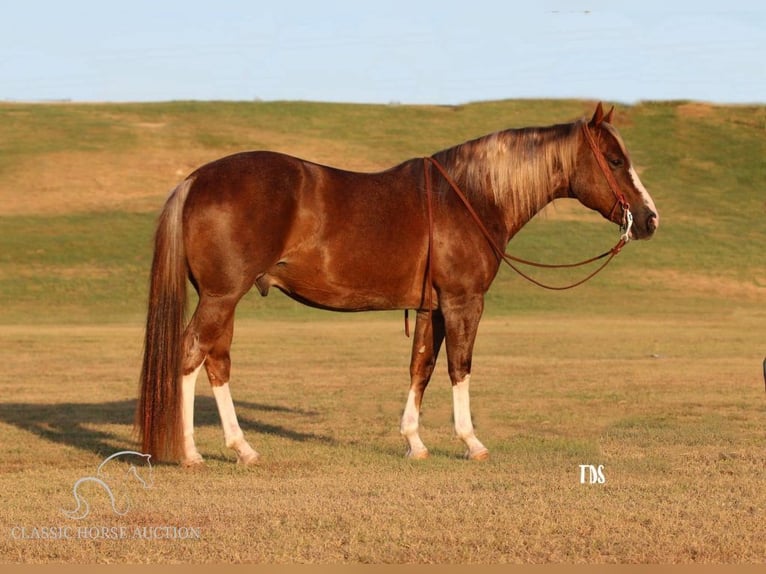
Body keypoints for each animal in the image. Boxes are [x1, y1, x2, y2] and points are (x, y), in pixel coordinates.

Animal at [136, 103, 660, 466]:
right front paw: (471, 442)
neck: (468, 197)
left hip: (223, 298)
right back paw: (192, 453)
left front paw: (414, 441)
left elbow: (420, 368)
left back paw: (242, 448)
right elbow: (459, 367)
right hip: (221, 296)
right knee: (190, 355)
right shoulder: (464, 302)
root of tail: (196, 180)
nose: (650, 219)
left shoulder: (432, 307)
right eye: (615, 160)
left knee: (217, 362)